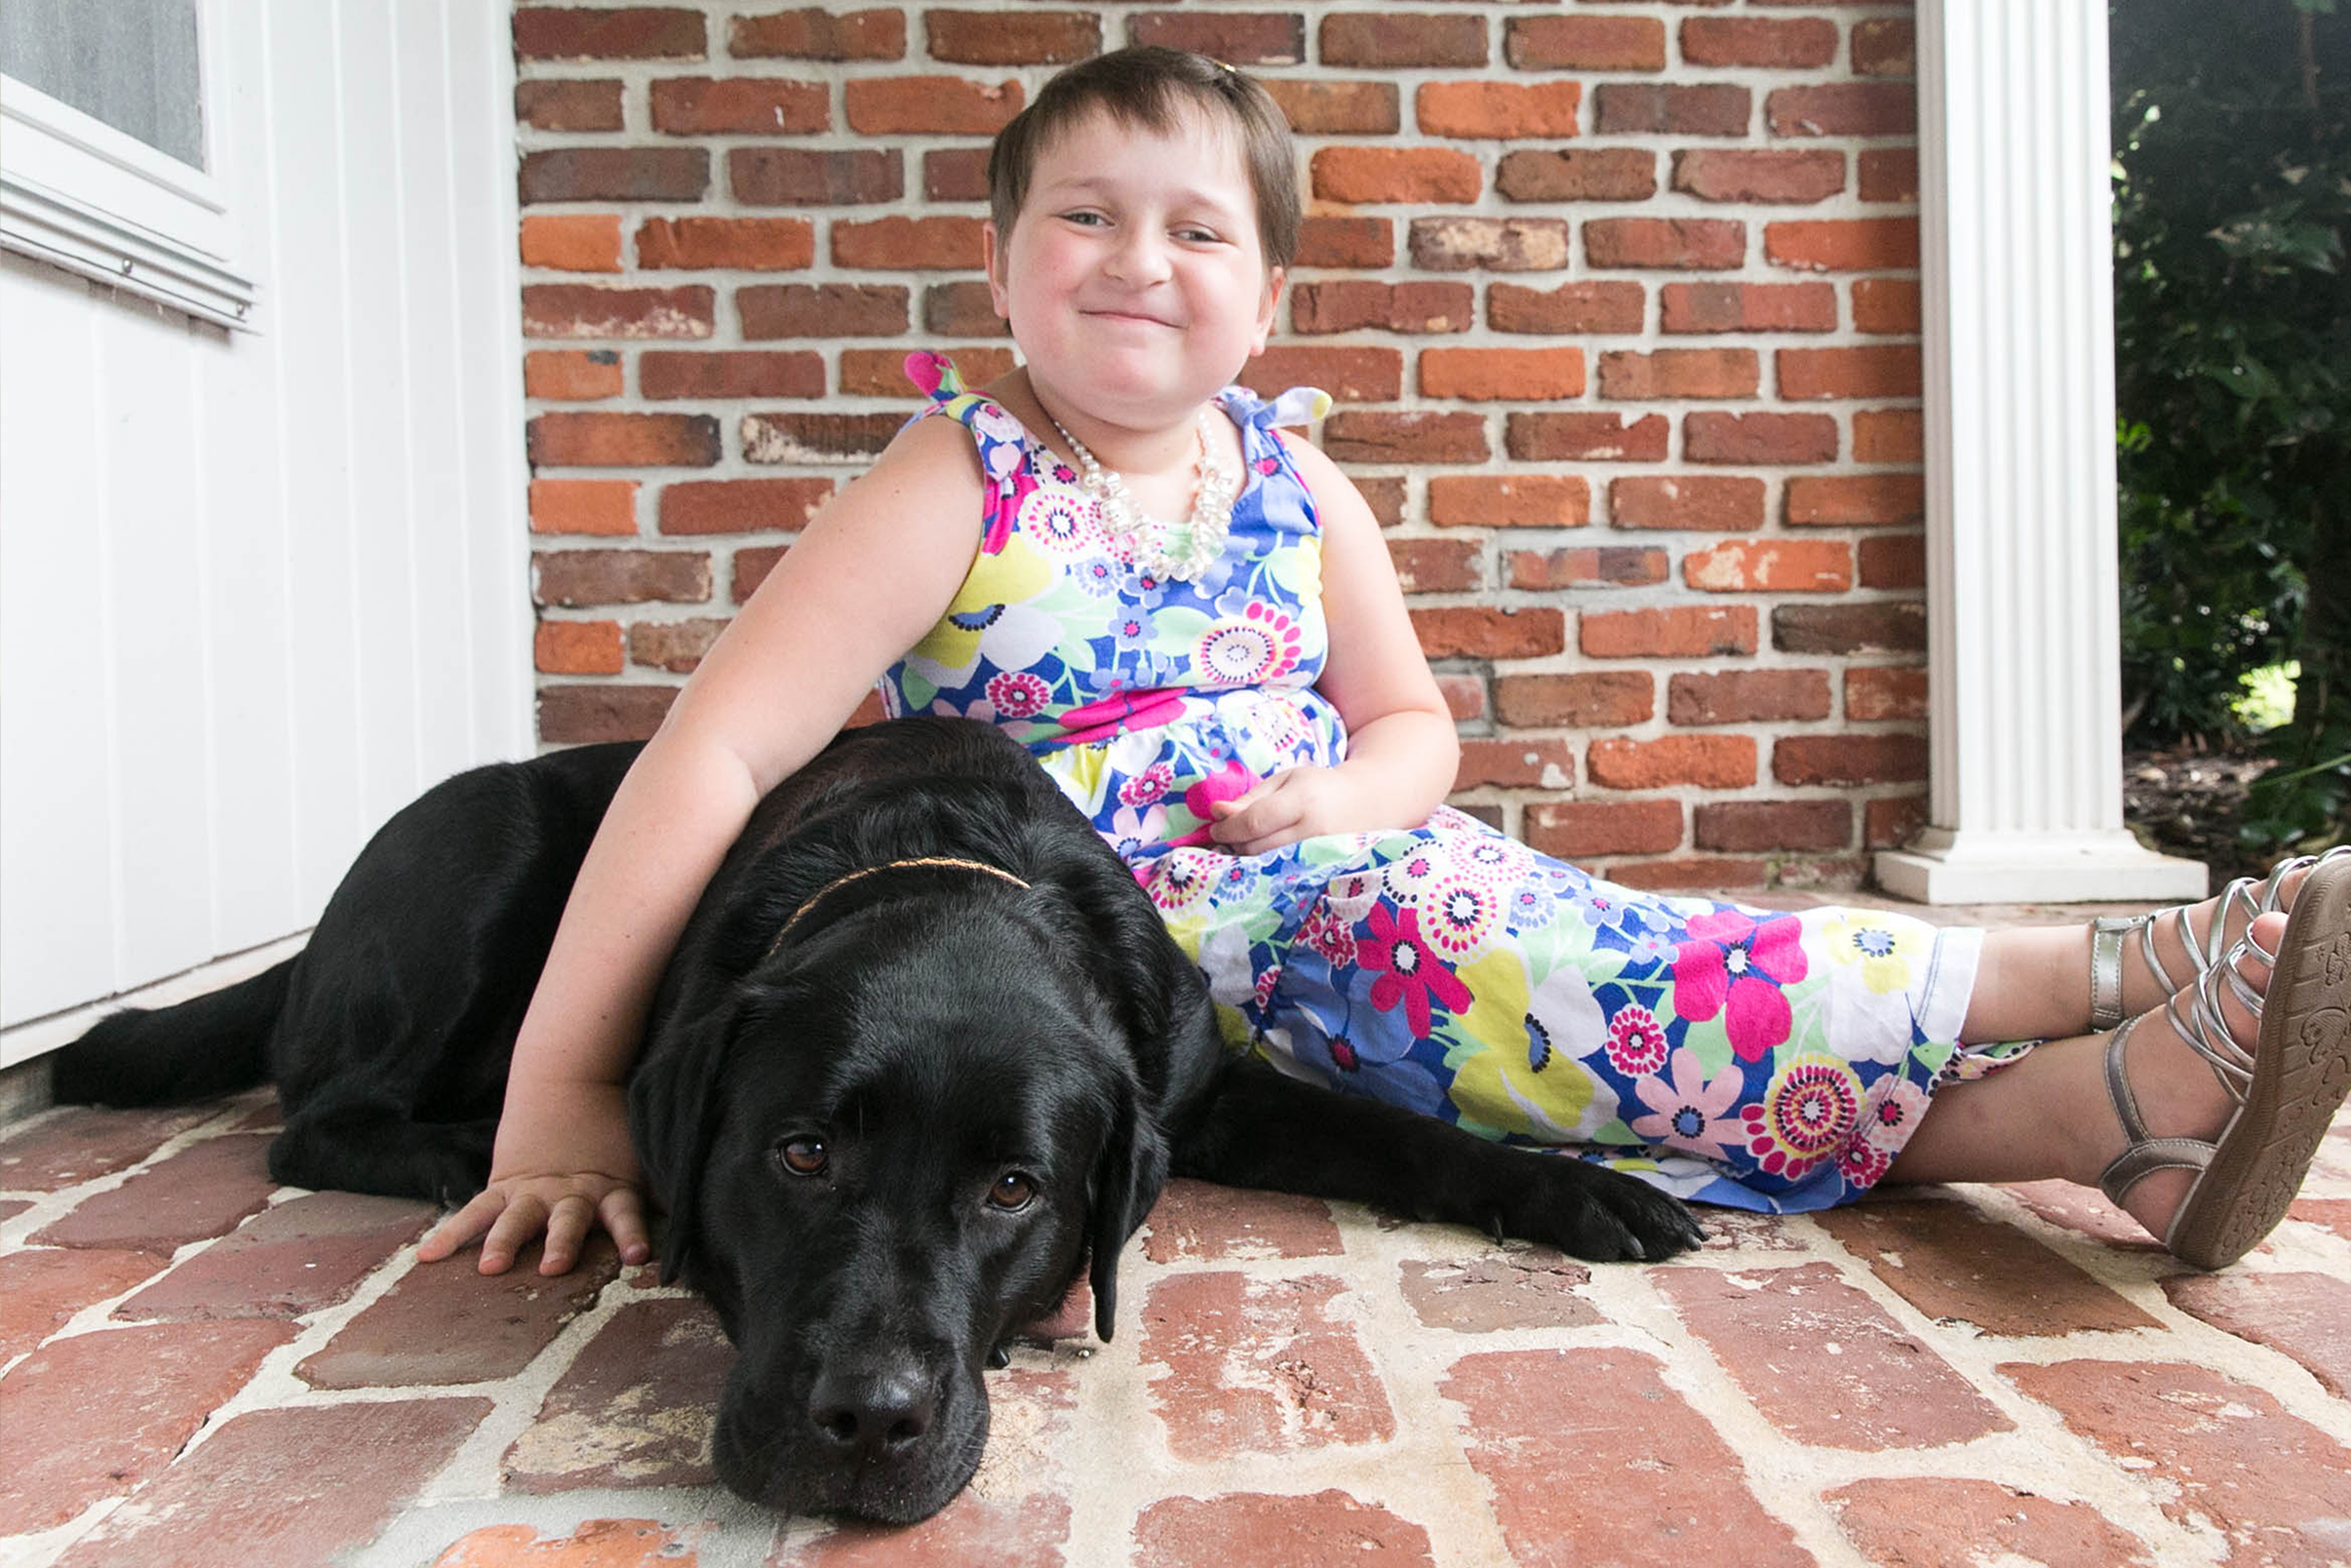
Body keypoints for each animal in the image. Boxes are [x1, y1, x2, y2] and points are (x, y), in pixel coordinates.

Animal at [55, 719, 1702, 1523]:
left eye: (1015, 1190)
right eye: (797, 1154)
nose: (865, 1423)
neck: (944, 853)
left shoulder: (1200, 1081)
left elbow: (1390, 1132)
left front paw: (1583, 1191)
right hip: (487, 836)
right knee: (314, 1117)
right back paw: (499, 1152)